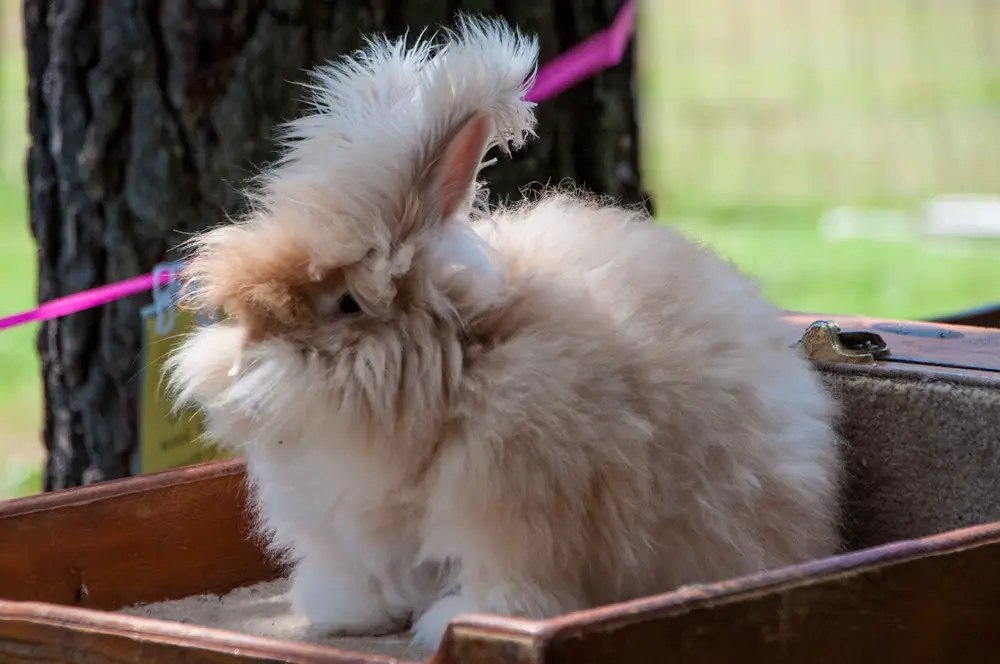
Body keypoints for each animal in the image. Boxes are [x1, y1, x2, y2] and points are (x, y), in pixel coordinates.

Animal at [166, 14, 844, 648]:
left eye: (348, 304)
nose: (246, 357)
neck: (462, 364)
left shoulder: (513, 510)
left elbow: (503, 590)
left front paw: (448, 625)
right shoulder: (341, 532)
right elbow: (362, 580)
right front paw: (346, 617)